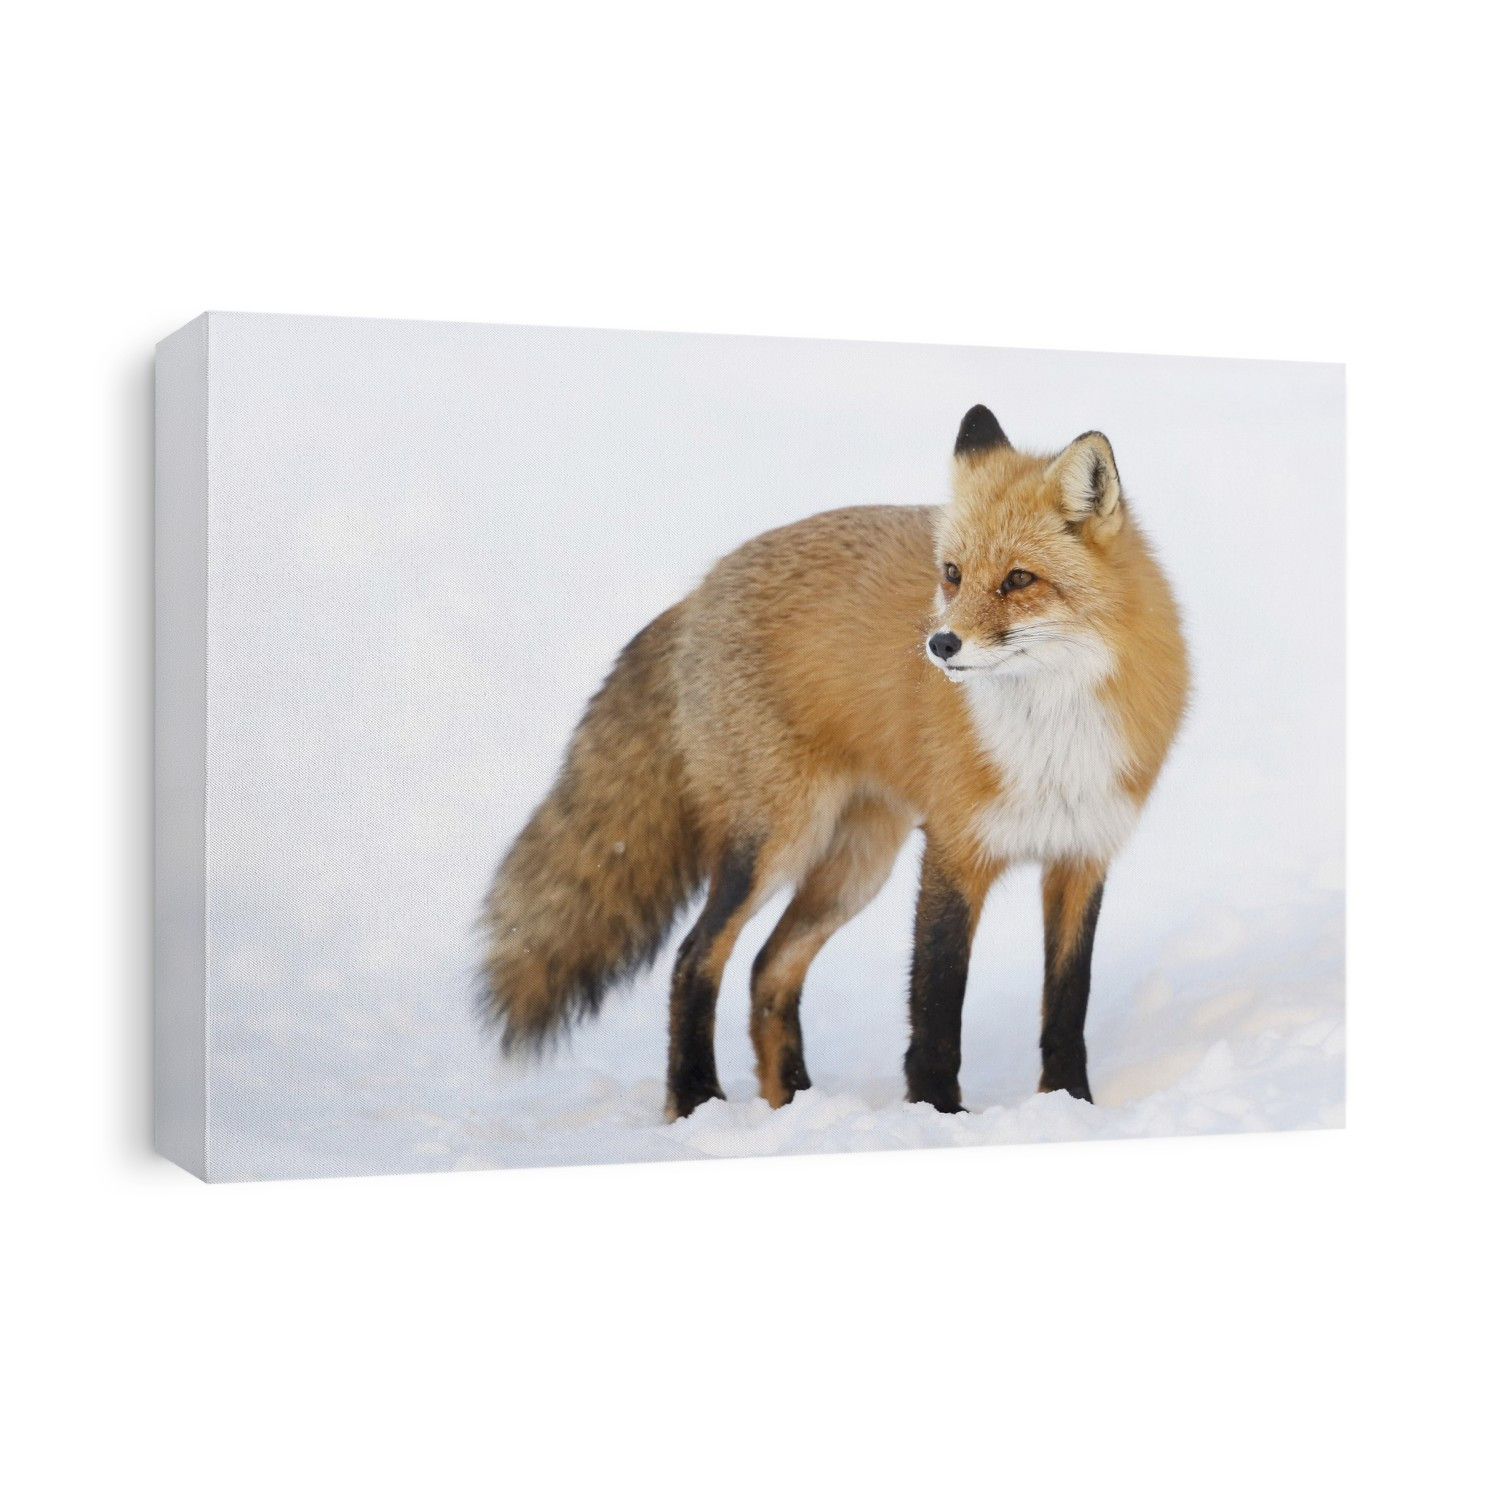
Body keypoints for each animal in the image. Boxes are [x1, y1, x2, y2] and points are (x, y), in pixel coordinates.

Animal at [479, 405, 1189, 1119]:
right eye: (952, 573)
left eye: (1019, 579)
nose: (940, 644)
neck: (1052, 734)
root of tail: (700, 590)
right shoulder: (955, 849)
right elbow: (937, 1002)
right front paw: (938, 1113)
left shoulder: (1082, 854)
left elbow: (1067, 1007)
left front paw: (1072, 1104)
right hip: (774, 843)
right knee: (695, 957)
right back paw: (697, 1097)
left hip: (855, 866)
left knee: (768, 969)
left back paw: (792, 1101)